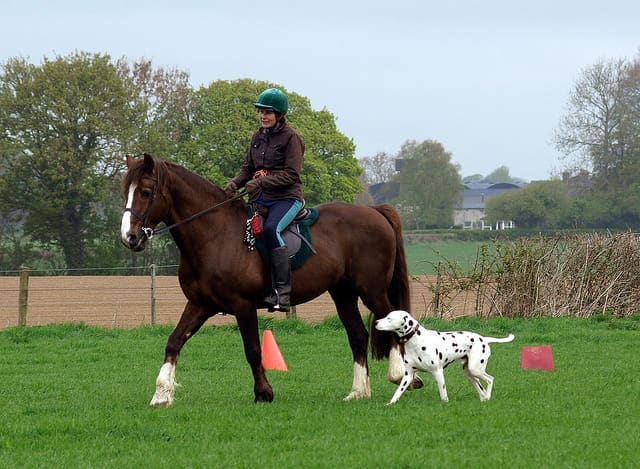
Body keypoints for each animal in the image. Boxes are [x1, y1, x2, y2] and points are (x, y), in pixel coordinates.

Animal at [120, 154, 418, 406]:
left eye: (145, 192)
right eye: (126, 192)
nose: (129, 238)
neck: (215, 235)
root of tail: (375, 211)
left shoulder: (242, 305)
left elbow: (253, 349)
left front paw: (263, 392)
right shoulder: (199, 304)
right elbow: (174, 341)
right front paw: (161, 394)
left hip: (372, 290)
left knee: (394, 324)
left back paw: (401, 375)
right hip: (343, 293)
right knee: (357, 335)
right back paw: (358, 391)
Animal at [376, 308, 516, 404]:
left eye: (389, 318)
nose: (376, 322)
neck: (416, 340)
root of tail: (484, 339)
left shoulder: (438, 372)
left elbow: (443, 394)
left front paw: (445, 403)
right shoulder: (408, 375)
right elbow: (397, 392)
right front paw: (390, 403)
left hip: (475, 369)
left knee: (490, 379)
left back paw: (488, 396)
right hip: (470, 374)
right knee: (480, 388)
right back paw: (484, 399)